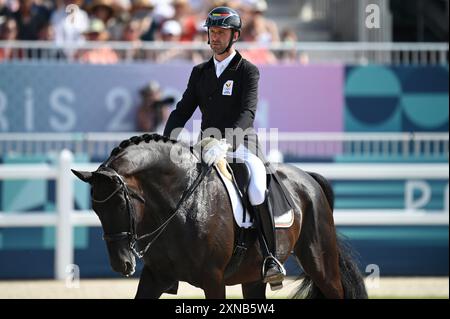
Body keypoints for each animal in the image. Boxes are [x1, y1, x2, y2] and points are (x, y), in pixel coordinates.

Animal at [72, 134, 368, 298]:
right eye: (96, 210)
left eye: (121, 204)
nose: (121, 264)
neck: (178, 205)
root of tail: (309, 178)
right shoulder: (155, 277)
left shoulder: (212, 279)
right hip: (253, 277)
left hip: (320, 263)